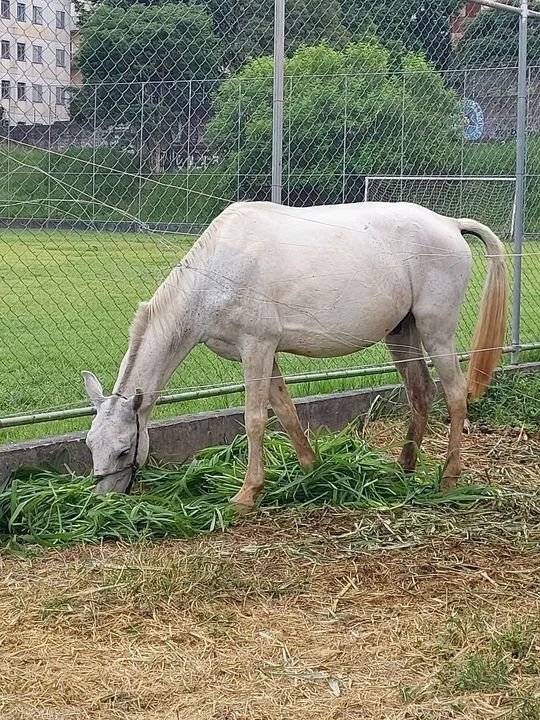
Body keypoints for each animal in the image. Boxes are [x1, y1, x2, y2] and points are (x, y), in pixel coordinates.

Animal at [82, 201, 507, 506]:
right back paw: (404, 466)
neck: (218, 270)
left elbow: (254, 418)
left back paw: (449, 477)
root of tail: (450, 224)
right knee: (421, 391)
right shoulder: (262, 353)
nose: (104, 500)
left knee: (455, 395)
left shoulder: (256, 346)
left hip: (437, 332)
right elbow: (285, 411)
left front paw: (247, 492)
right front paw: (309, 467)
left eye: (123, 450)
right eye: (90, 445)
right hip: (402, 333)